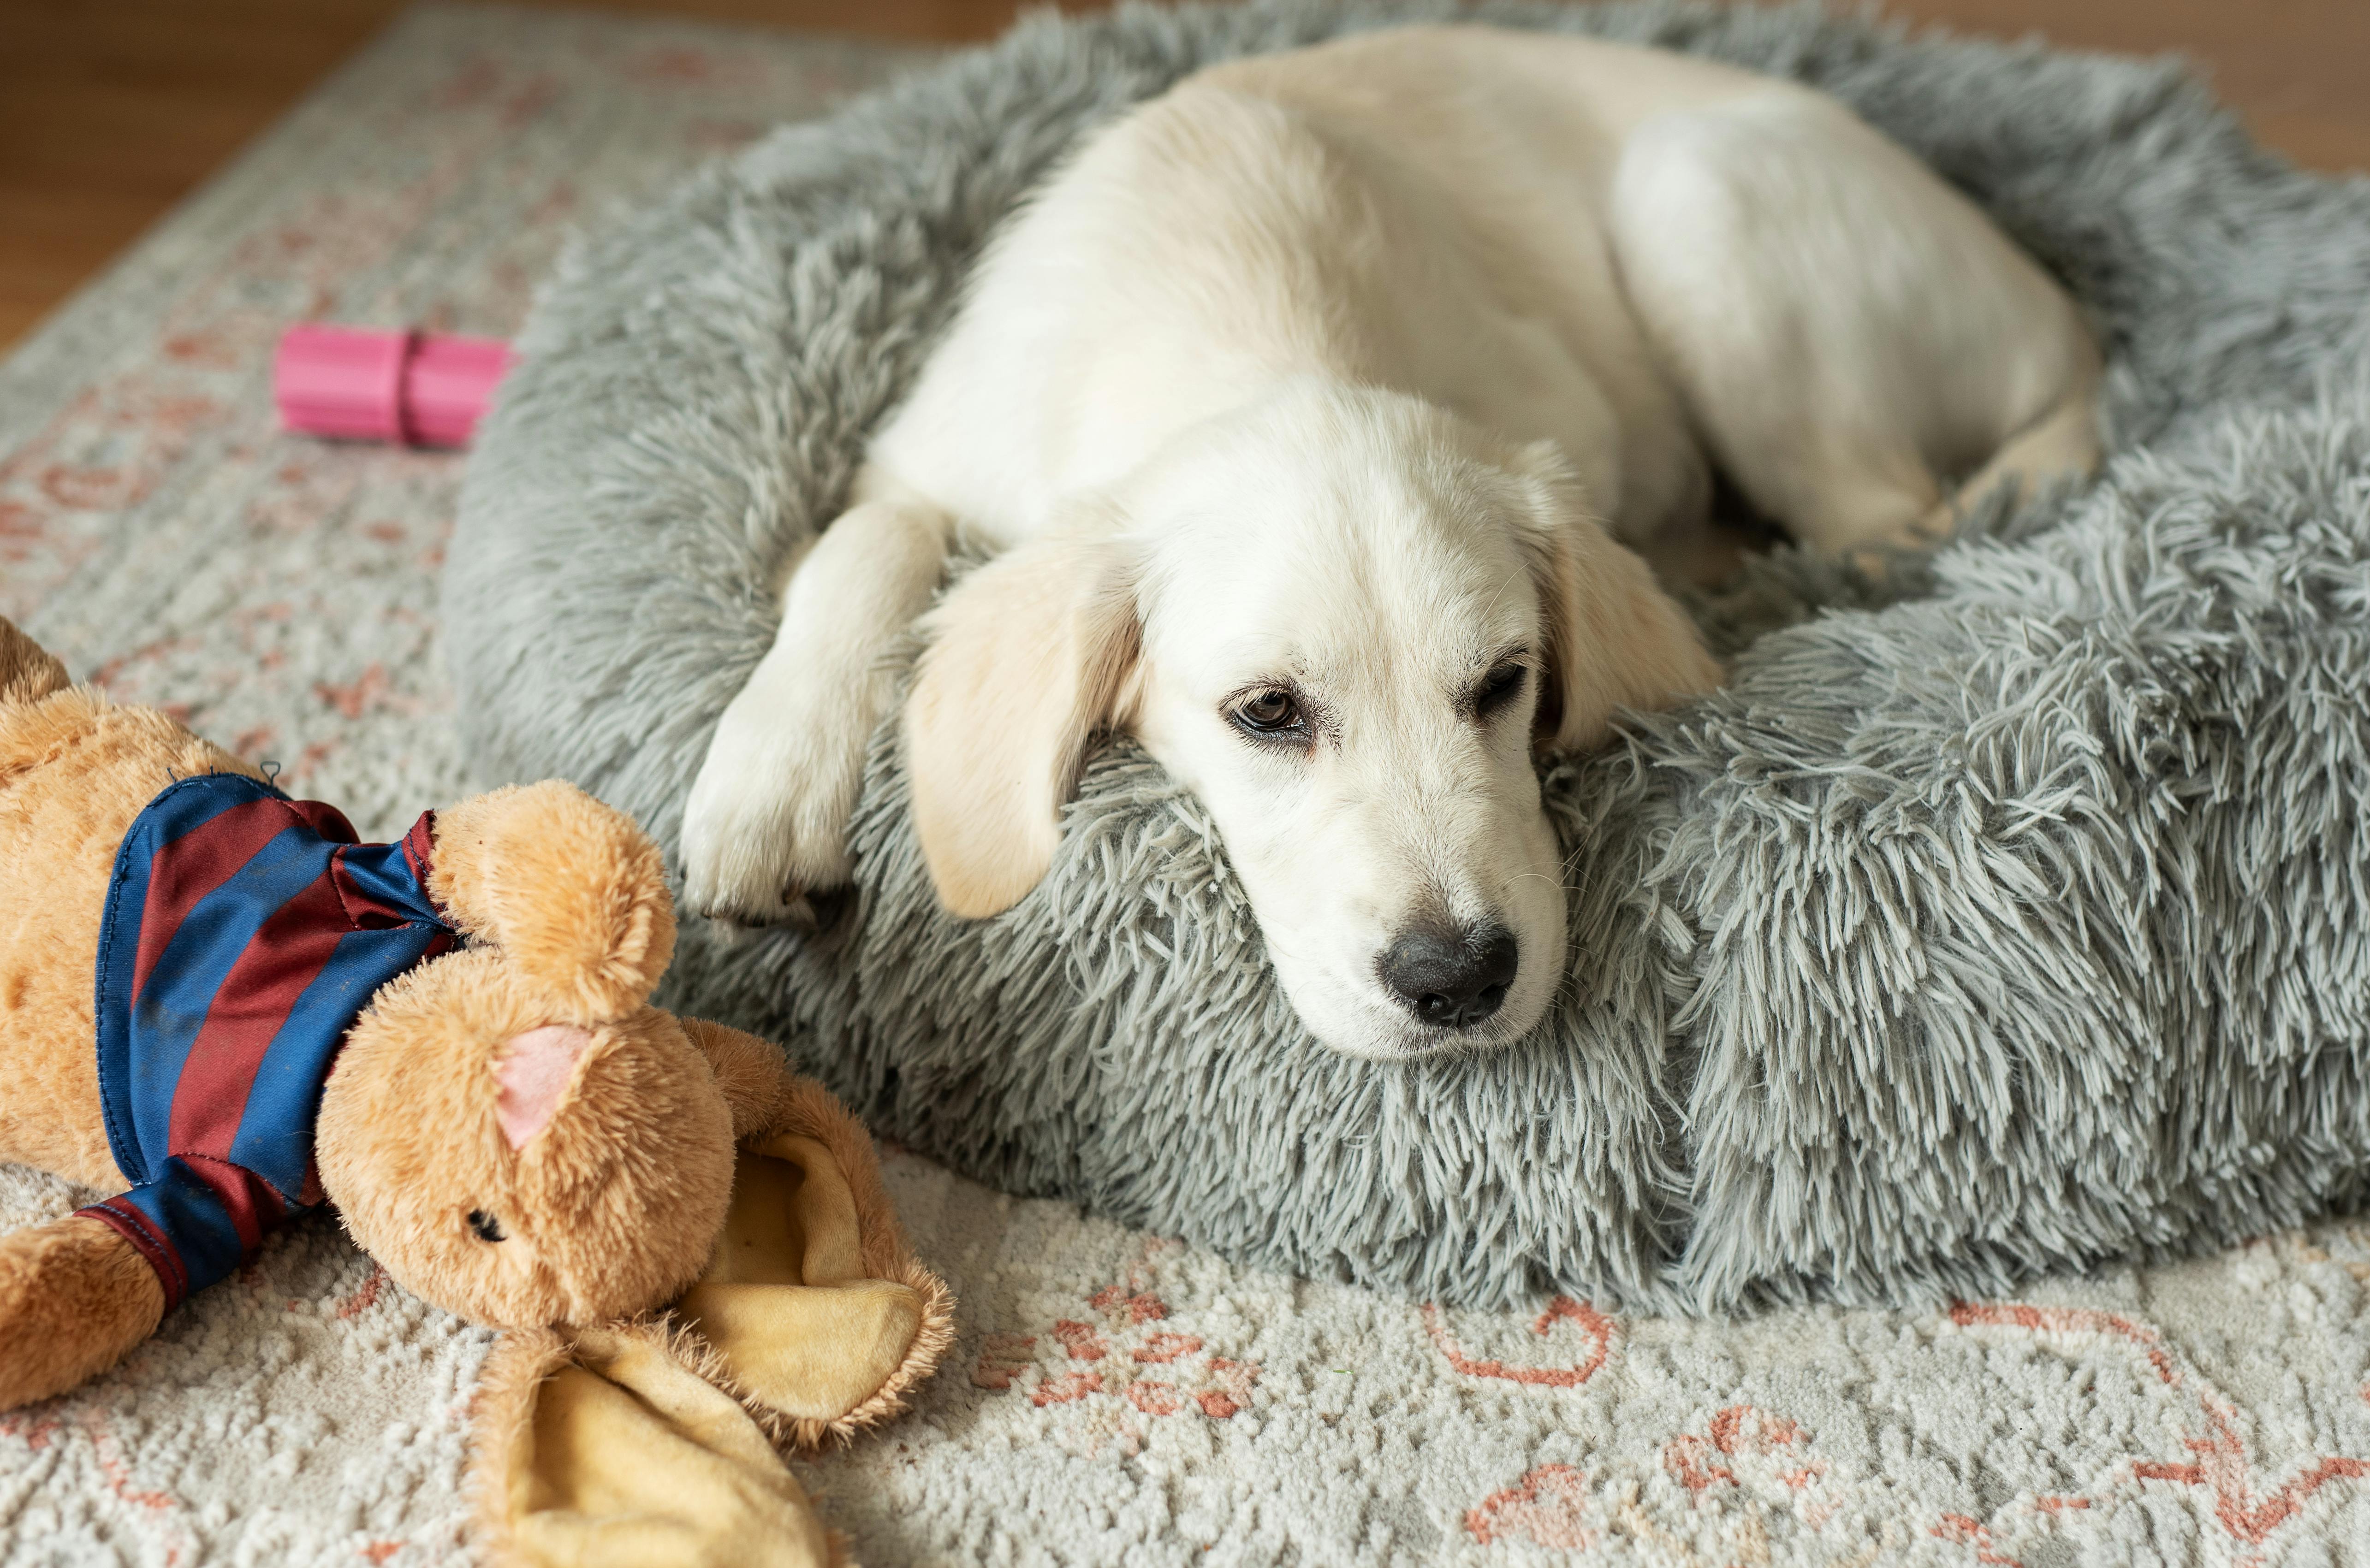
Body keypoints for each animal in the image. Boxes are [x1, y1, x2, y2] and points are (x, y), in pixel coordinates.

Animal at [683, 24, 2095, 1061]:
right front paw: (767, 784)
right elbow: (862, 543)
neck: (1249, 301)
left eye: (1506, 683)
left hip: (1703, 203)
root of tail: (2065, 319)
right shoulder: (922, 453)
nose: (1457, 979)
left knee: (1882, 526)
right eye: (1266, 711)